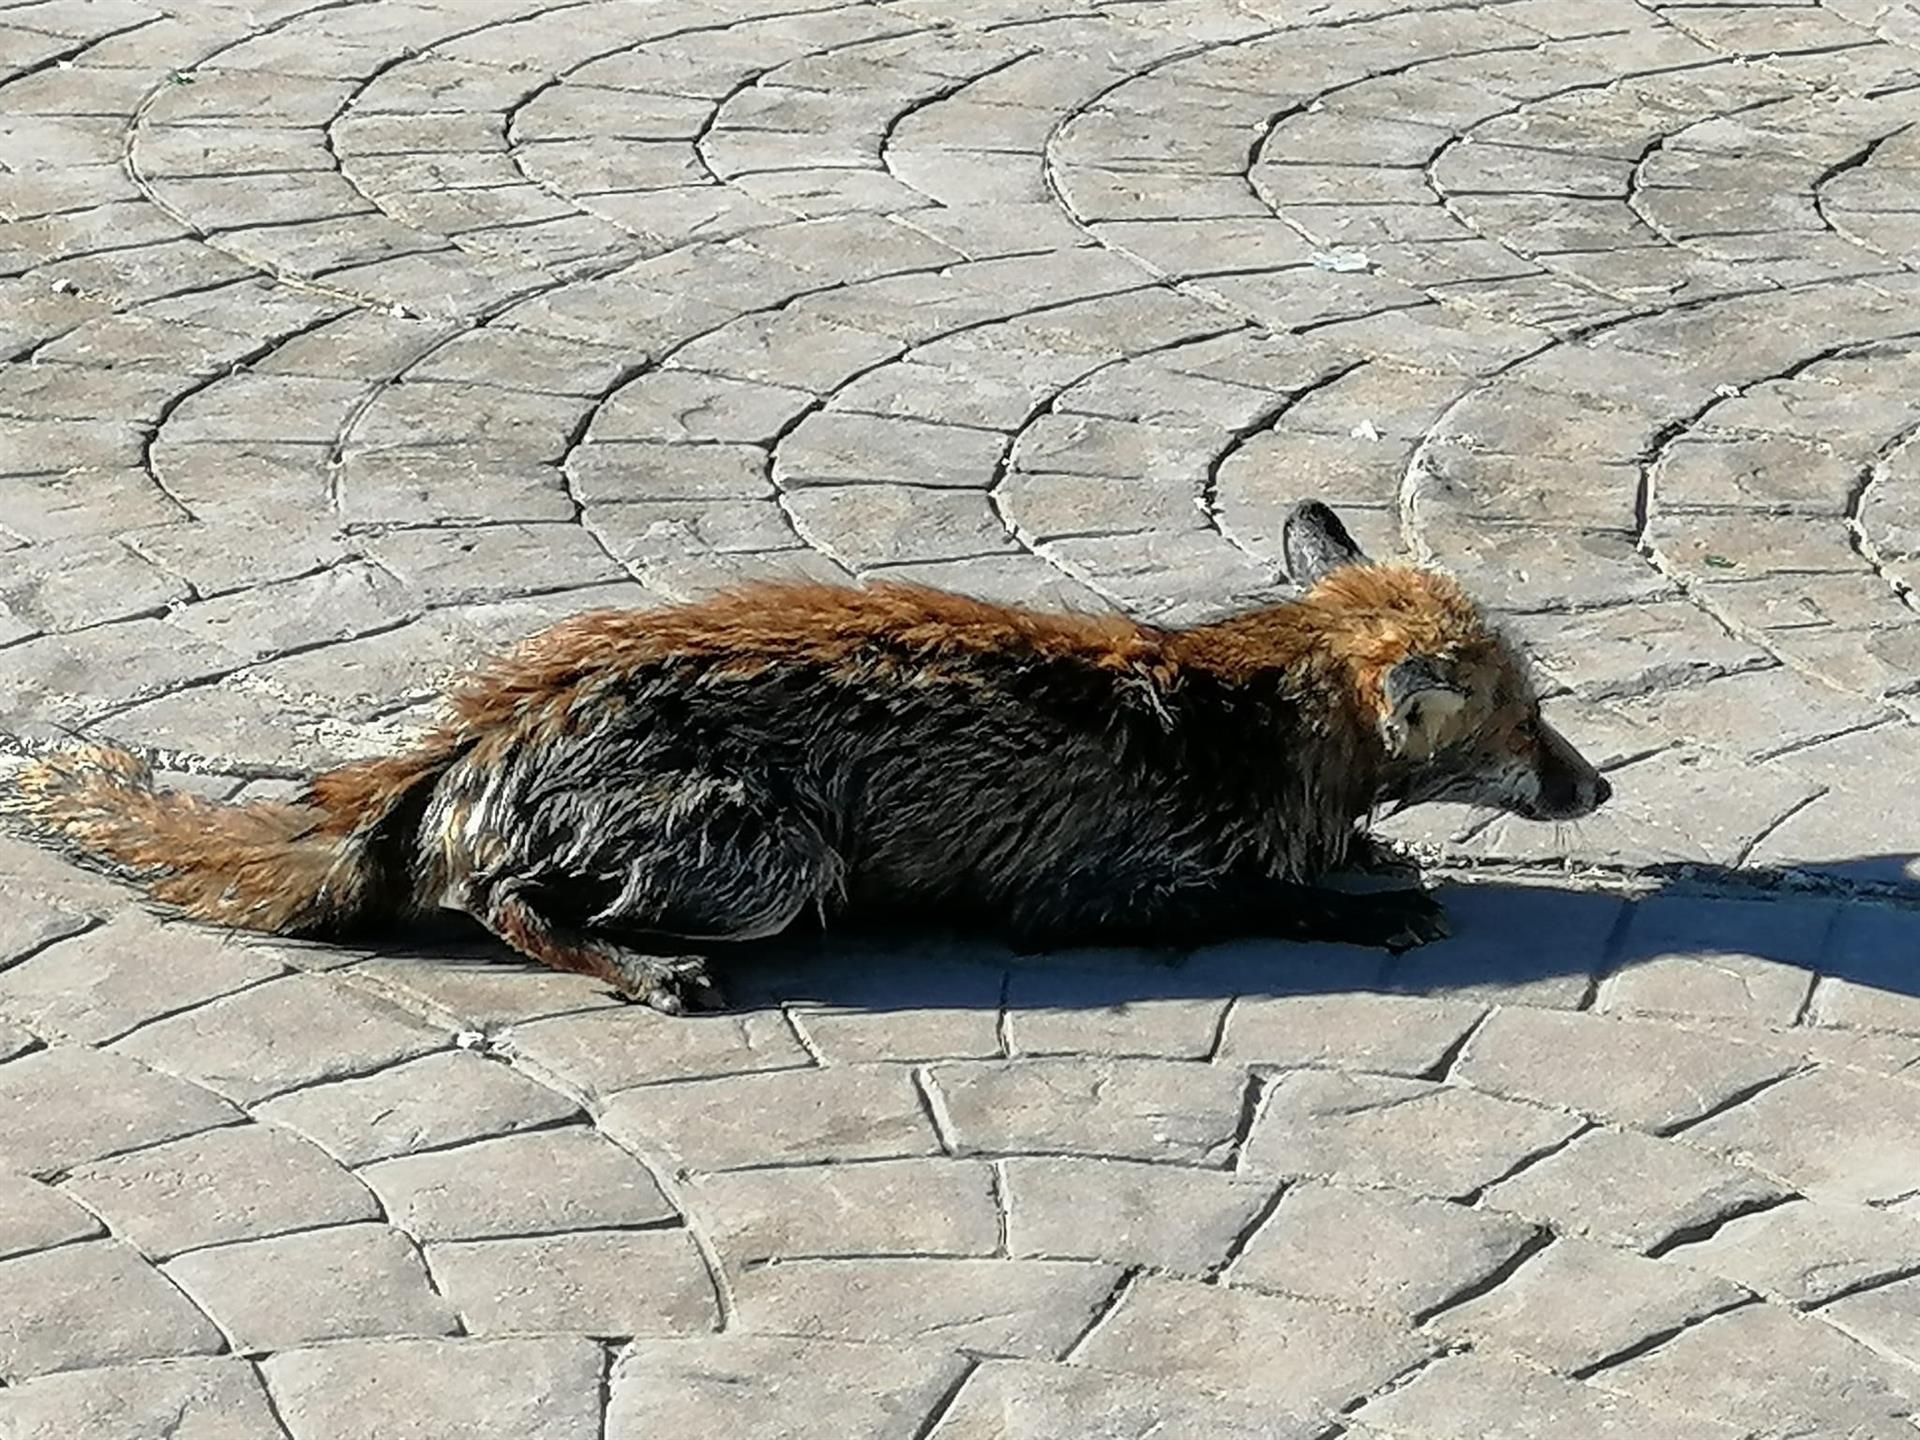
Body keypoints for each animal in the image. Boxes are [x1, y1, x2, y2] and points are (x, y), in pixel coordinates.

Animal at [4, 502, 1609, 1013]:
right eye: (1529, 721)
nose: (1598, 788)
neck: (1244, 719)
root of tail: (460, 744)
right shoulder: (1091, 894)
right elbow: (1268, 896)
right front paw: (1374, 902)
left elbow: (1338, 851)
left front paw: (1373, 855)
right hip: (770, 856)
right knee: (504, 906)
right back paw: (642, 968)